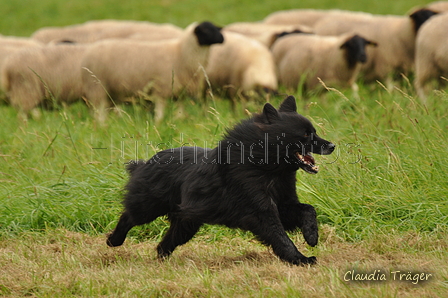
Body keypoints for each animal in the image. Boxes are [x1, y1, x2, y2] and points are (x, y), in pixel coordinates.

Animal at [81, 21, 224, 123]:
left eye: (216, 28)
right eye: (206, 30)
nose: (222, 38)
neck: (180, 52)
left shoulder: (180, 89)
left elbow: (180, 107)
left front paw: (180, 119)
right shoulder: (162, 87)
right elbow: (160, 108)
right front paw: (158, 122)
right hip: (97, 87)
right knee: (98, 109)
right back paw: (101, 124)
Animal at [107, 96, 334, 266]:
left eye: (314, 132)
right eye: (306, 134)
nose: (332, 146)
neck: (266, 168)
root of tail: (144, 163)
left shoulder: (283, 205)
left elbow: (308, 210)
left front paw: (311, 236)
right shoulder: (262, 212)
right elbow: (280, 237)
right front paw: (300, 259)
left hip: (186, 224)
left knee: (164, 244)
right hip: (148, 208)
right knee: (128, 217)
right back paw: (113, 240)